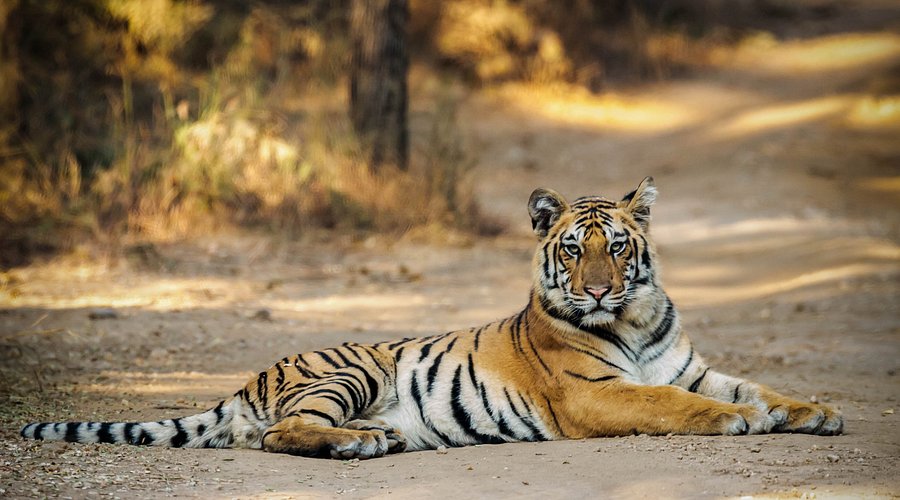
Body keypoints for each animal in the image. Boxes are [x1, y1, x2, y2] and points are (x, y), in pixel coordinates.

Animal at [20, 177, 843, 459]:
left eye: (617, 247)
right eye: (572, 249)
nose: (600, 292)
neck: (634, 321)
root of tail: (250, 378)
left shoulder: (694, 366)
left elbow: (755, 387)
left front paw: (816, 410)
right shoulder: (594, 394)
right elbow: (670, 402)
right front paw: (736, 422)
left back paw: (379, 438)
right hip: (350, 369)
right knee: (278, 434)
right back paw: (357, 445)